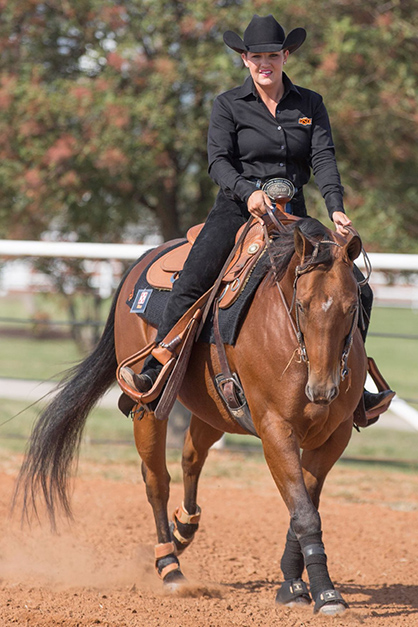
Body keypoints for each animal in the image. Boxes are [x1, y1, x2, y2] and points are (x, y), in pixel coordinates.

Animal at [15, 218, 366, 616]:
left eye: (352, 306)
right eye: (302, 305)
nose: (323, 389)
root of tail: (146, 257)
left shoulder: (335, 437)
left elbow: (303, 507)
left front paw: (293, 583)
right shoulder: (276, 431)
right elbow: (304, 512)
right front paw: (325, 593)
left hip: (213, 414)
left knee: (190, 459)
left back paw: (183, 528)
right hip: (149, 411)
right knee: (156, 480)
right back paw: (169, 566)